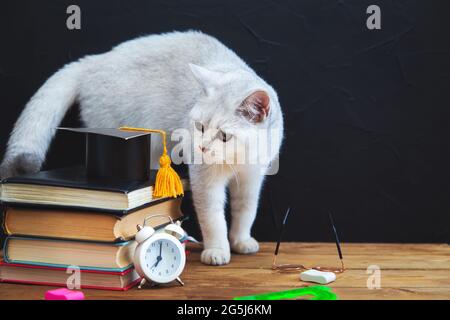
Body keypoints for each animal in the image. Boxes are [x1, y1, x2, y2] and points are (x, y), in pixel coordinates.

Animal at [0, 30, 284, 264]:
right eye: (200, 127)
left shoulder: (252, 179)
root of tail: (95, 61)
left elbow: (245, 211)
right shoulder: (205, 180)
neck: (238, 159)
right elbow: (213, 218)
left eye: (224, 136)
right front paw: (217, 251)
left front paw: (241, 242)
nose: (202, 147)